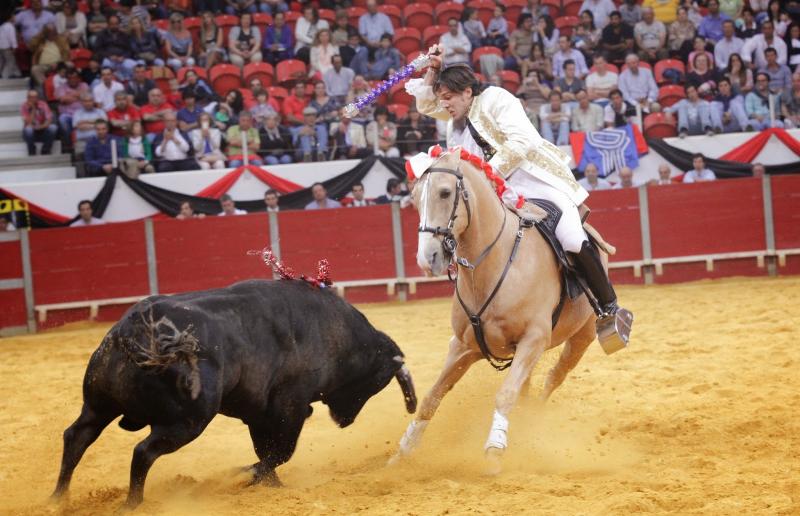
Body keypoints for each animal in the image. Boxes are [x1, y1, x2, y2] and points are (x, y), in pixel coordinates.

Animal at [51, 279, 417, 508]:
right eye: (377, 381)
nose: (345, 421)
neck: (337, 333)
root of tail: (135, 330)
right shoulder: (290, 406)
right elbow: (280, 451)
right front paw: (242, 476)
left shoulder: (259, 413)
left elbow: (269, 450)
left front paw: (269, 486)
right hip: (189, 422)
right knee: (143, 451)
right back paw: (133, 503)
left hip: (98, 404)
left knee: (77, 436)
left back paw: (58, 499)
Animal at [390, 148, 616, 471]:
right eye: (414, 196)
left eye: (445, 192)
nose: (427, 258)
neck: (494, 264)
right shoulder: (462, 347)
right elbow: (432, 397)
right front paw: (403, 451)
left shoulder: (533, 339)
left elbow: (505, 394)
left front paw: (495, 449)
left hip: (582, 335)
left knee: (555, 376)